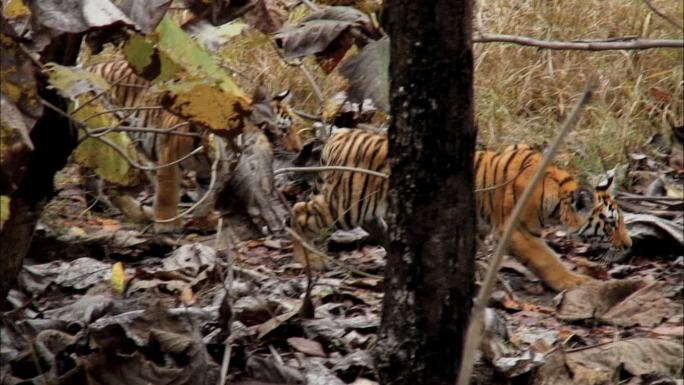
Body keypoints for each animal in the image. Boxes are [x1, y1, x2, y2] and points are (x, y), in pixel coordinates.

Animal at [83, 60, 302, 231]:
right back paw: (139, 213)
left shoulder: (211, 171)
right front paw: (167, 226)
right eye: (283, 130)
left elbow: (207, 196)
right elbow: (168, 194)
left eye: (293, 126)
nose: (299, 149)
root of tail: (90, 67)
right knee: (111, 184)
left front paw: (203, 220)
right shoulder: (170, 157)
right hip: (116, 139)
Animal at [292, 127, 632, 290]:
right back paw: (310, 260)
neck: (557, 195)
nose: (629, 245)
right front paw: (574, 282)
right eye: (611, 224)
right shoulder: (516, 231)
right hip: (345, 204)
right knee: (299, 211)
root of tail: (339, 134)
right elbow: (548, 260)